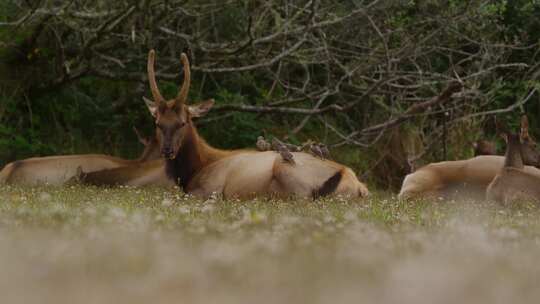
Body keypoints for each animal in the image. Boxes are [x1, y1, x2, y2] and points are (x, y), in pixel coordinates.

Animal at [146, 50, 370, 200]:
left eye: (183, 123)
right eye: (157, 123)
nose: (167, 150)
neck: (194, 170)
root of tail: (357, 185)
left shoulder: (208, 190)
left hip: (290, 177)